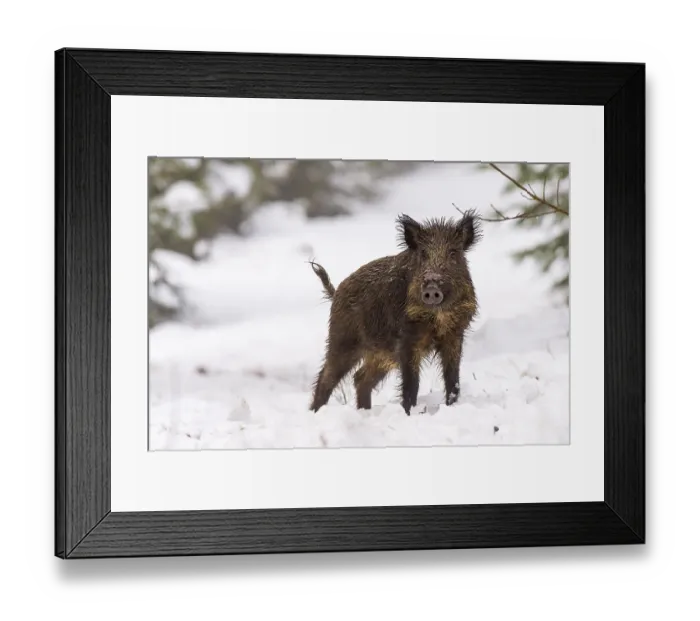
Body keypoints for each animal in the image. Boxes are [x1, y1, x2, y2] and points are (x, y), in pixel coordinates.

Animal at [309, 210, 481, 415]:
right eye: (423, 254)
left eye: (453, 252)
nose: (432, 287)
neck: (438, 316)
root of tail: (336, 293)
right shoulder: (407, 339)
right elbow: (411, 384)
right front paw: (409, 413)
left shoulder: (454, 335)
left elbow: (453, 381)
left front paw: (451, 407)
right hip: (343, 339)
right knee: (326, 378)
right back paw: (316, 412)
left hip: (382, 354)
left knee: (360, 378)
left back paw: (365, 412)